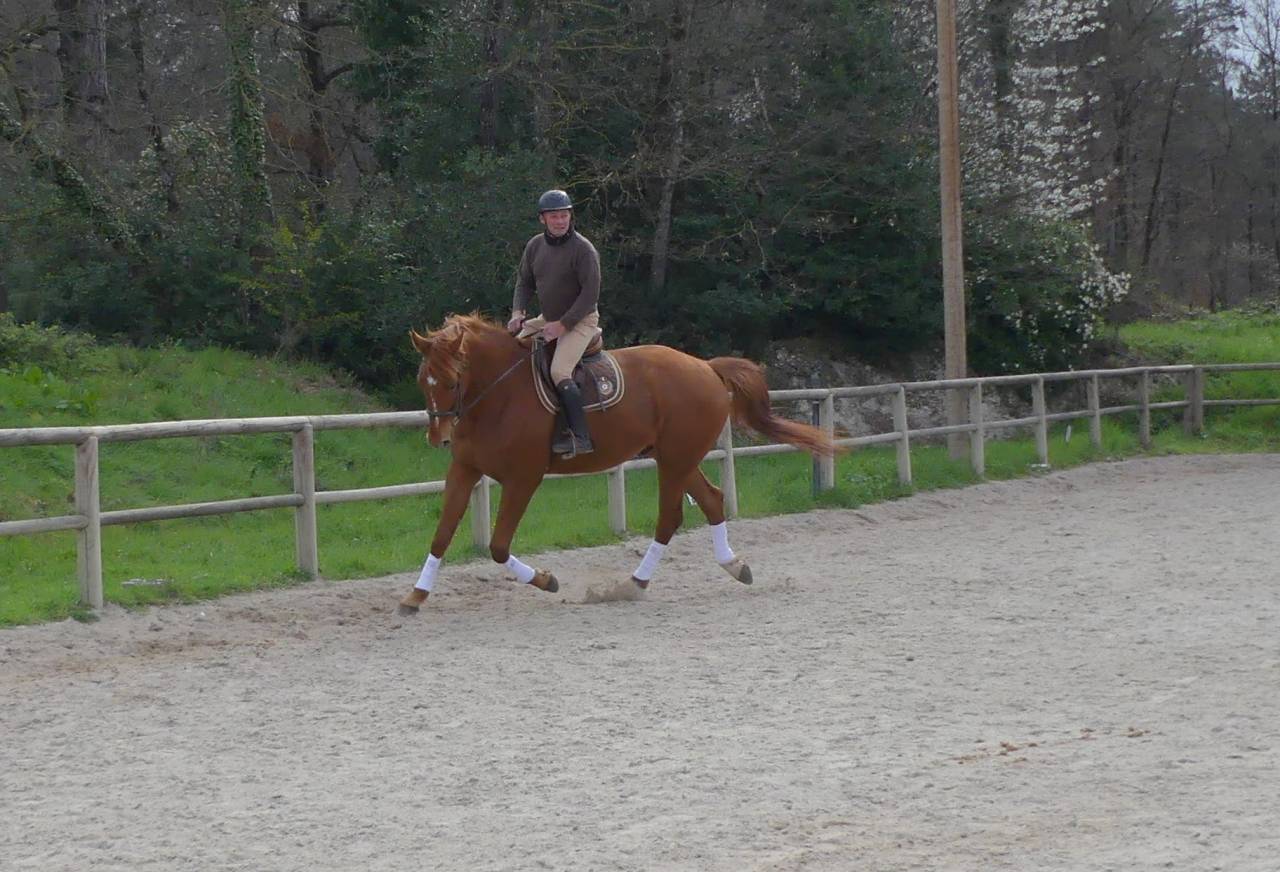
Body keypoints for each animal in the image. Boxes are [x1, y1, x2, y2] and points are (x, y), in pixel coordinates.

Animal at [396, 314, 836, 614]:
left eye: (452, 380)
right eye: (422, 380)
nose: (439, 437)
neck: (497, 395)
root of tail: (706, 367)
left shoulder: (524, 478)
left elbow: (499, 546)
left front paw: (546, 580)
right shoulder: (464, 471)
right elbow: (441, 536)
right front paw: (415, 596)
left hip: (674, 460)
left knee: (670, 517)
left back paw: (635, 583)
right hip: (677, 457)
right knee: (711, 500)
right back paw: (732, 566)